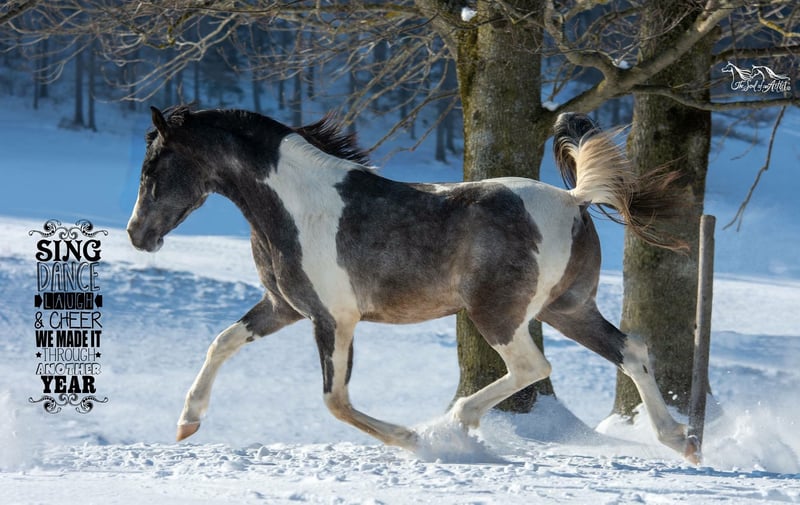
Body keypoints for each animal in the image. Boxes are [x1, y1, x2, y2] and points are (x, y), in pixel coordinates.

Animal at [127, 106, 698, 462]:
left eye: (153, 166)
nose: (137, 234)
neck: (294, 205)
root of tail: (573, 200)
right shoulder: (285, 306)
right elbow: (222, 341)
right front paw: (186, 423)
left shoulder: (334, 319)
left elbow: (335, 400)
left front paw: (409, 439)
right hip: (570, 309)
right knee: (632, 351)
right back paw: (681, 441)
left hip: (500, 315)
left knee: (534, 366)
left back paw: (452, 426)